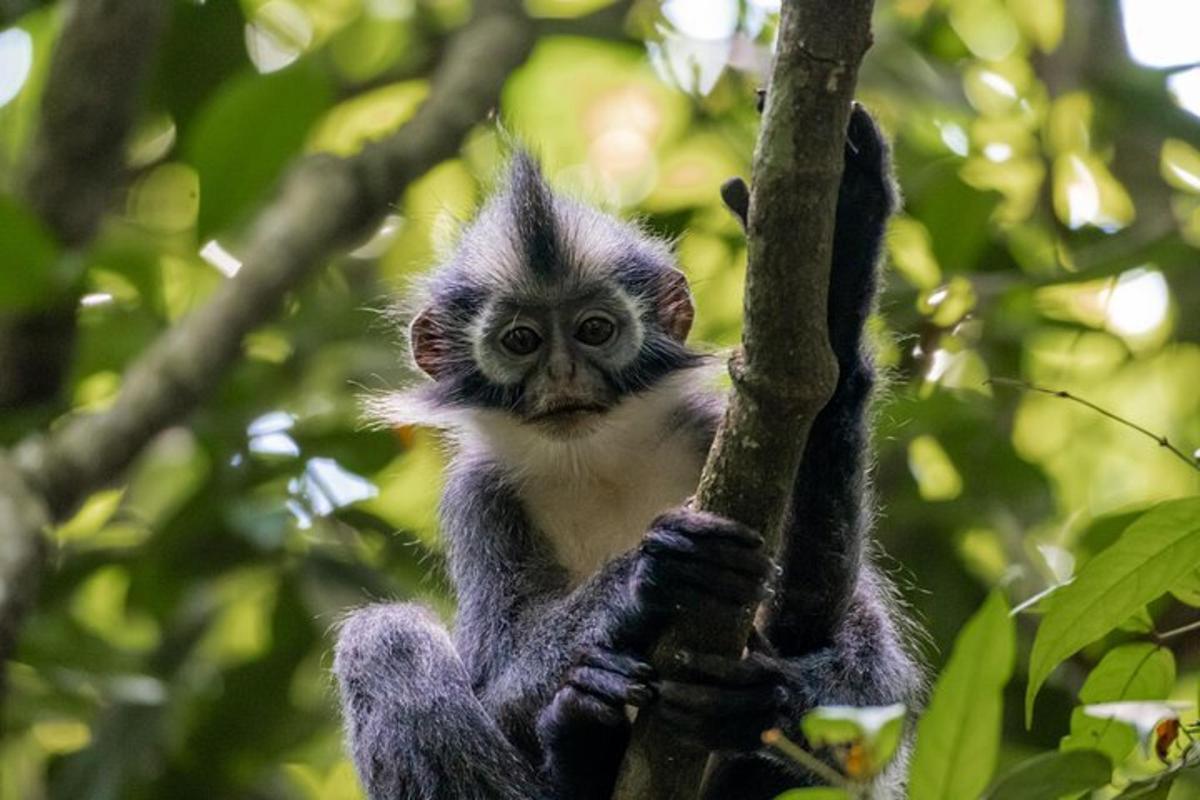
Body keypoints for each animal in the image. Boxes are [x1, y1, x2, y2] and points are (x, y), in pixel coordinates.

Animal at [333, 104, 921, 800]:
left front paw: (845, 247)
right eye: (521, 340)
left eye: (594, 330)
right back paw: (581, 742)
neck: (597, 460)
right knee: (385, 637)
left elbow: (878, 685)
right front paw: (640, 578)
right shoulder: (480, 497)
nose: (563, 374)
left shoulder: (719, 428)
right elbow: (496, 684)